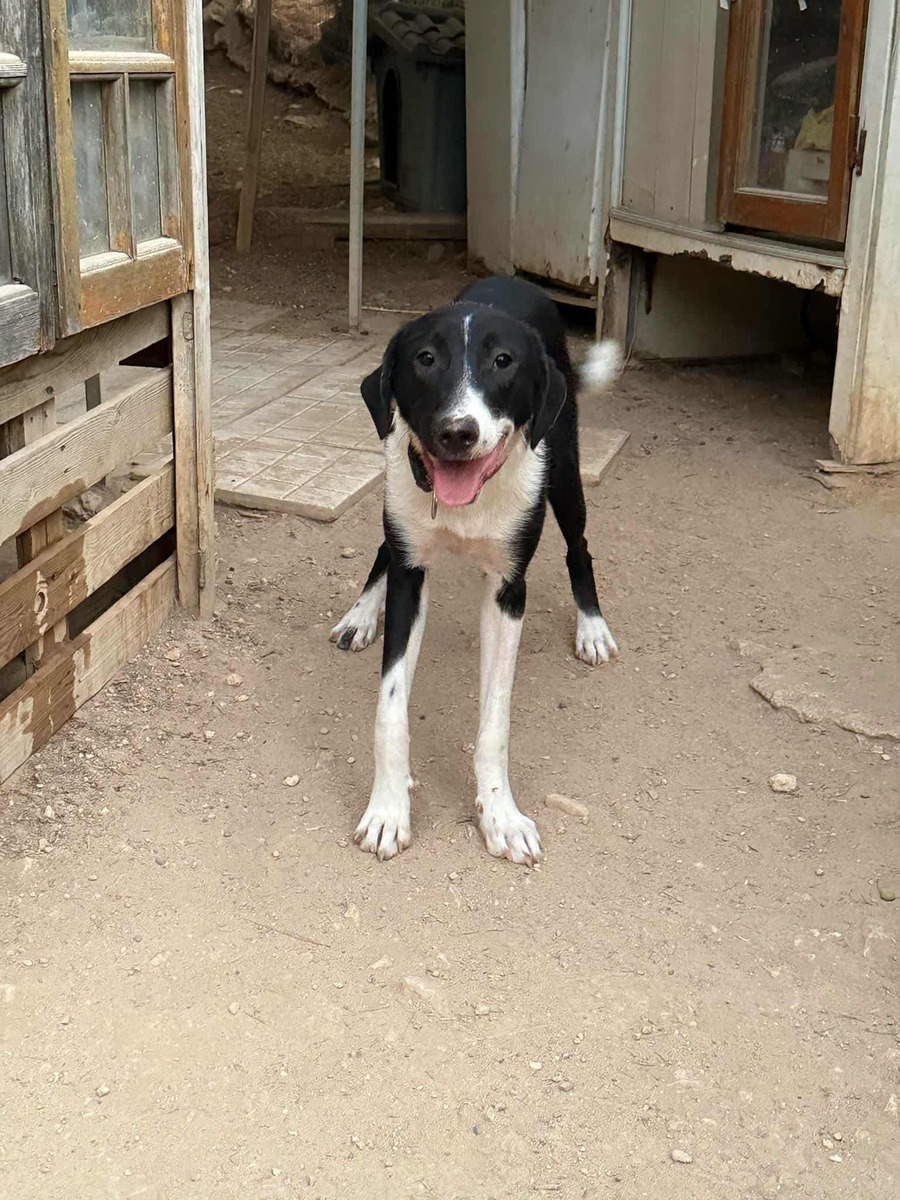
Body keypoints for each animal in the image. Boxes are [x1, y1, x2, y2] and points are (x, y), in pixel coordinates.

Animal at [330, 276, 621, 865]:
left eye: (503, 361)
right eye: (425, 358)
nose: (457, 432)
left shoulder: (510, 588)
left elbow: (495, 723)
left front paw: (500, 815)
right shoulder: (410, 569)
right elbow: (390, 709)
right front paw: (388, 809)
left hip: (565, 468)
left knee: (579, 546)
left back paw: (592, 626)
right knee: (382, 549)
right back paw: (360, 614)